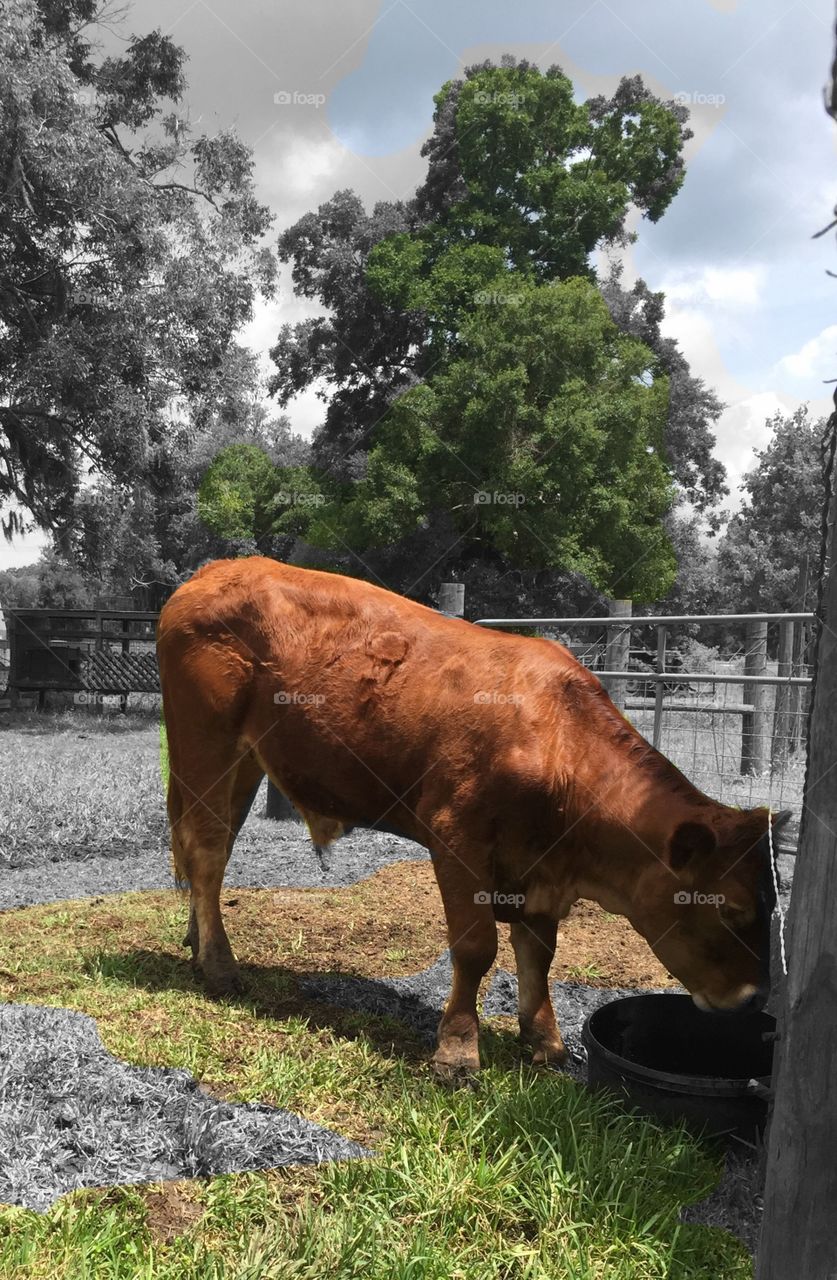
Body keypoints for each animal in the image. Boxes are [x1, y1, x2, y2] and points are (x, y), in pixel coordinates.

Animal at [157, 556, 790, 1074]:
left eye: (769, 900)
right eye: (731, 909)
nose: (754, 997)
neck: (557, 741)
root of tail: (213, 573)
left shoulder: (539, 868)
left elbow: (538, 954)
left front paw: (545, 1042)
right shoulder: (456, 836)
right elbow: (475, 946)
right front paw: (459, 1049)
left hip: (244, 763)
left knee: (211, 849)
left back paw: (196, 940)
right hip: (206, 744)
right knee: (206, 851)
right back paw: (219, 966)